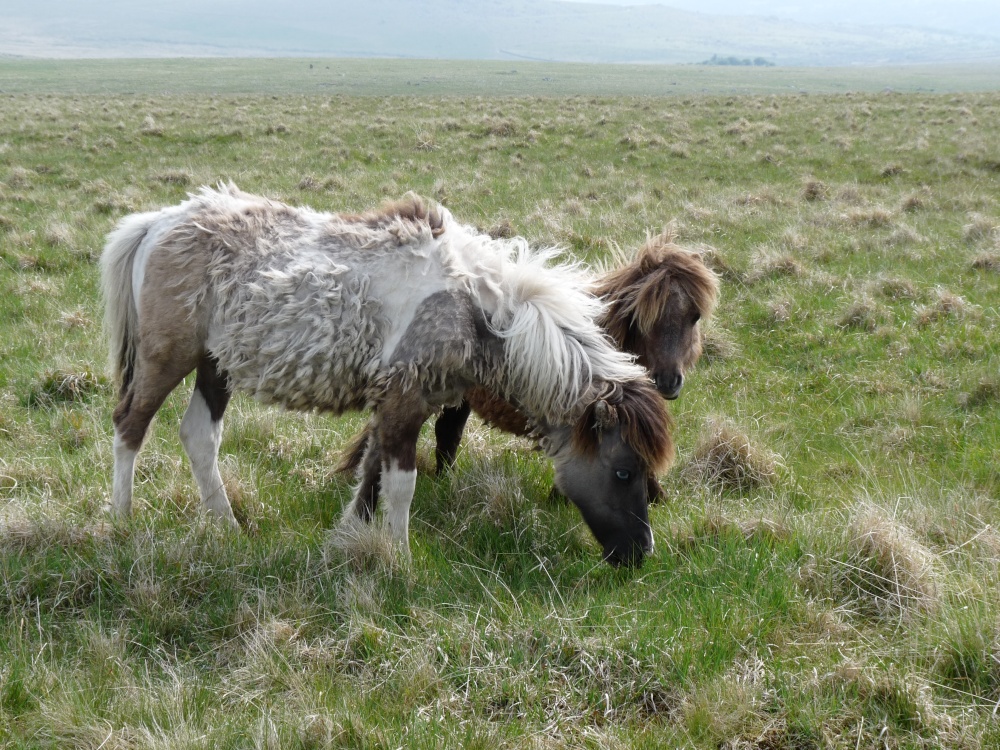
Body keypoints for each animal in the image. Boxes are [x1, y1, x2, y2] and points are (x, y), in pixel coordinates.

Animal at [100, 184, 673, 567]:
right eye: (624, 472)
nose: (641, 554)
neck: (475, 306)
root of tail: (156, 223)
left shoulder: (394, 403)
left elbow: (371, 476)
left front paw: (349, 540)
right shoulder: (405, 402)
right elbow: (400, 483)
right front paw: (400, 560)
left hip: (215, 365)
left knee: (199, 437)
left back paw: (226, 525)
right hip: (167, 358)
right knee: (131, 426)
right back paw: (122, 520)